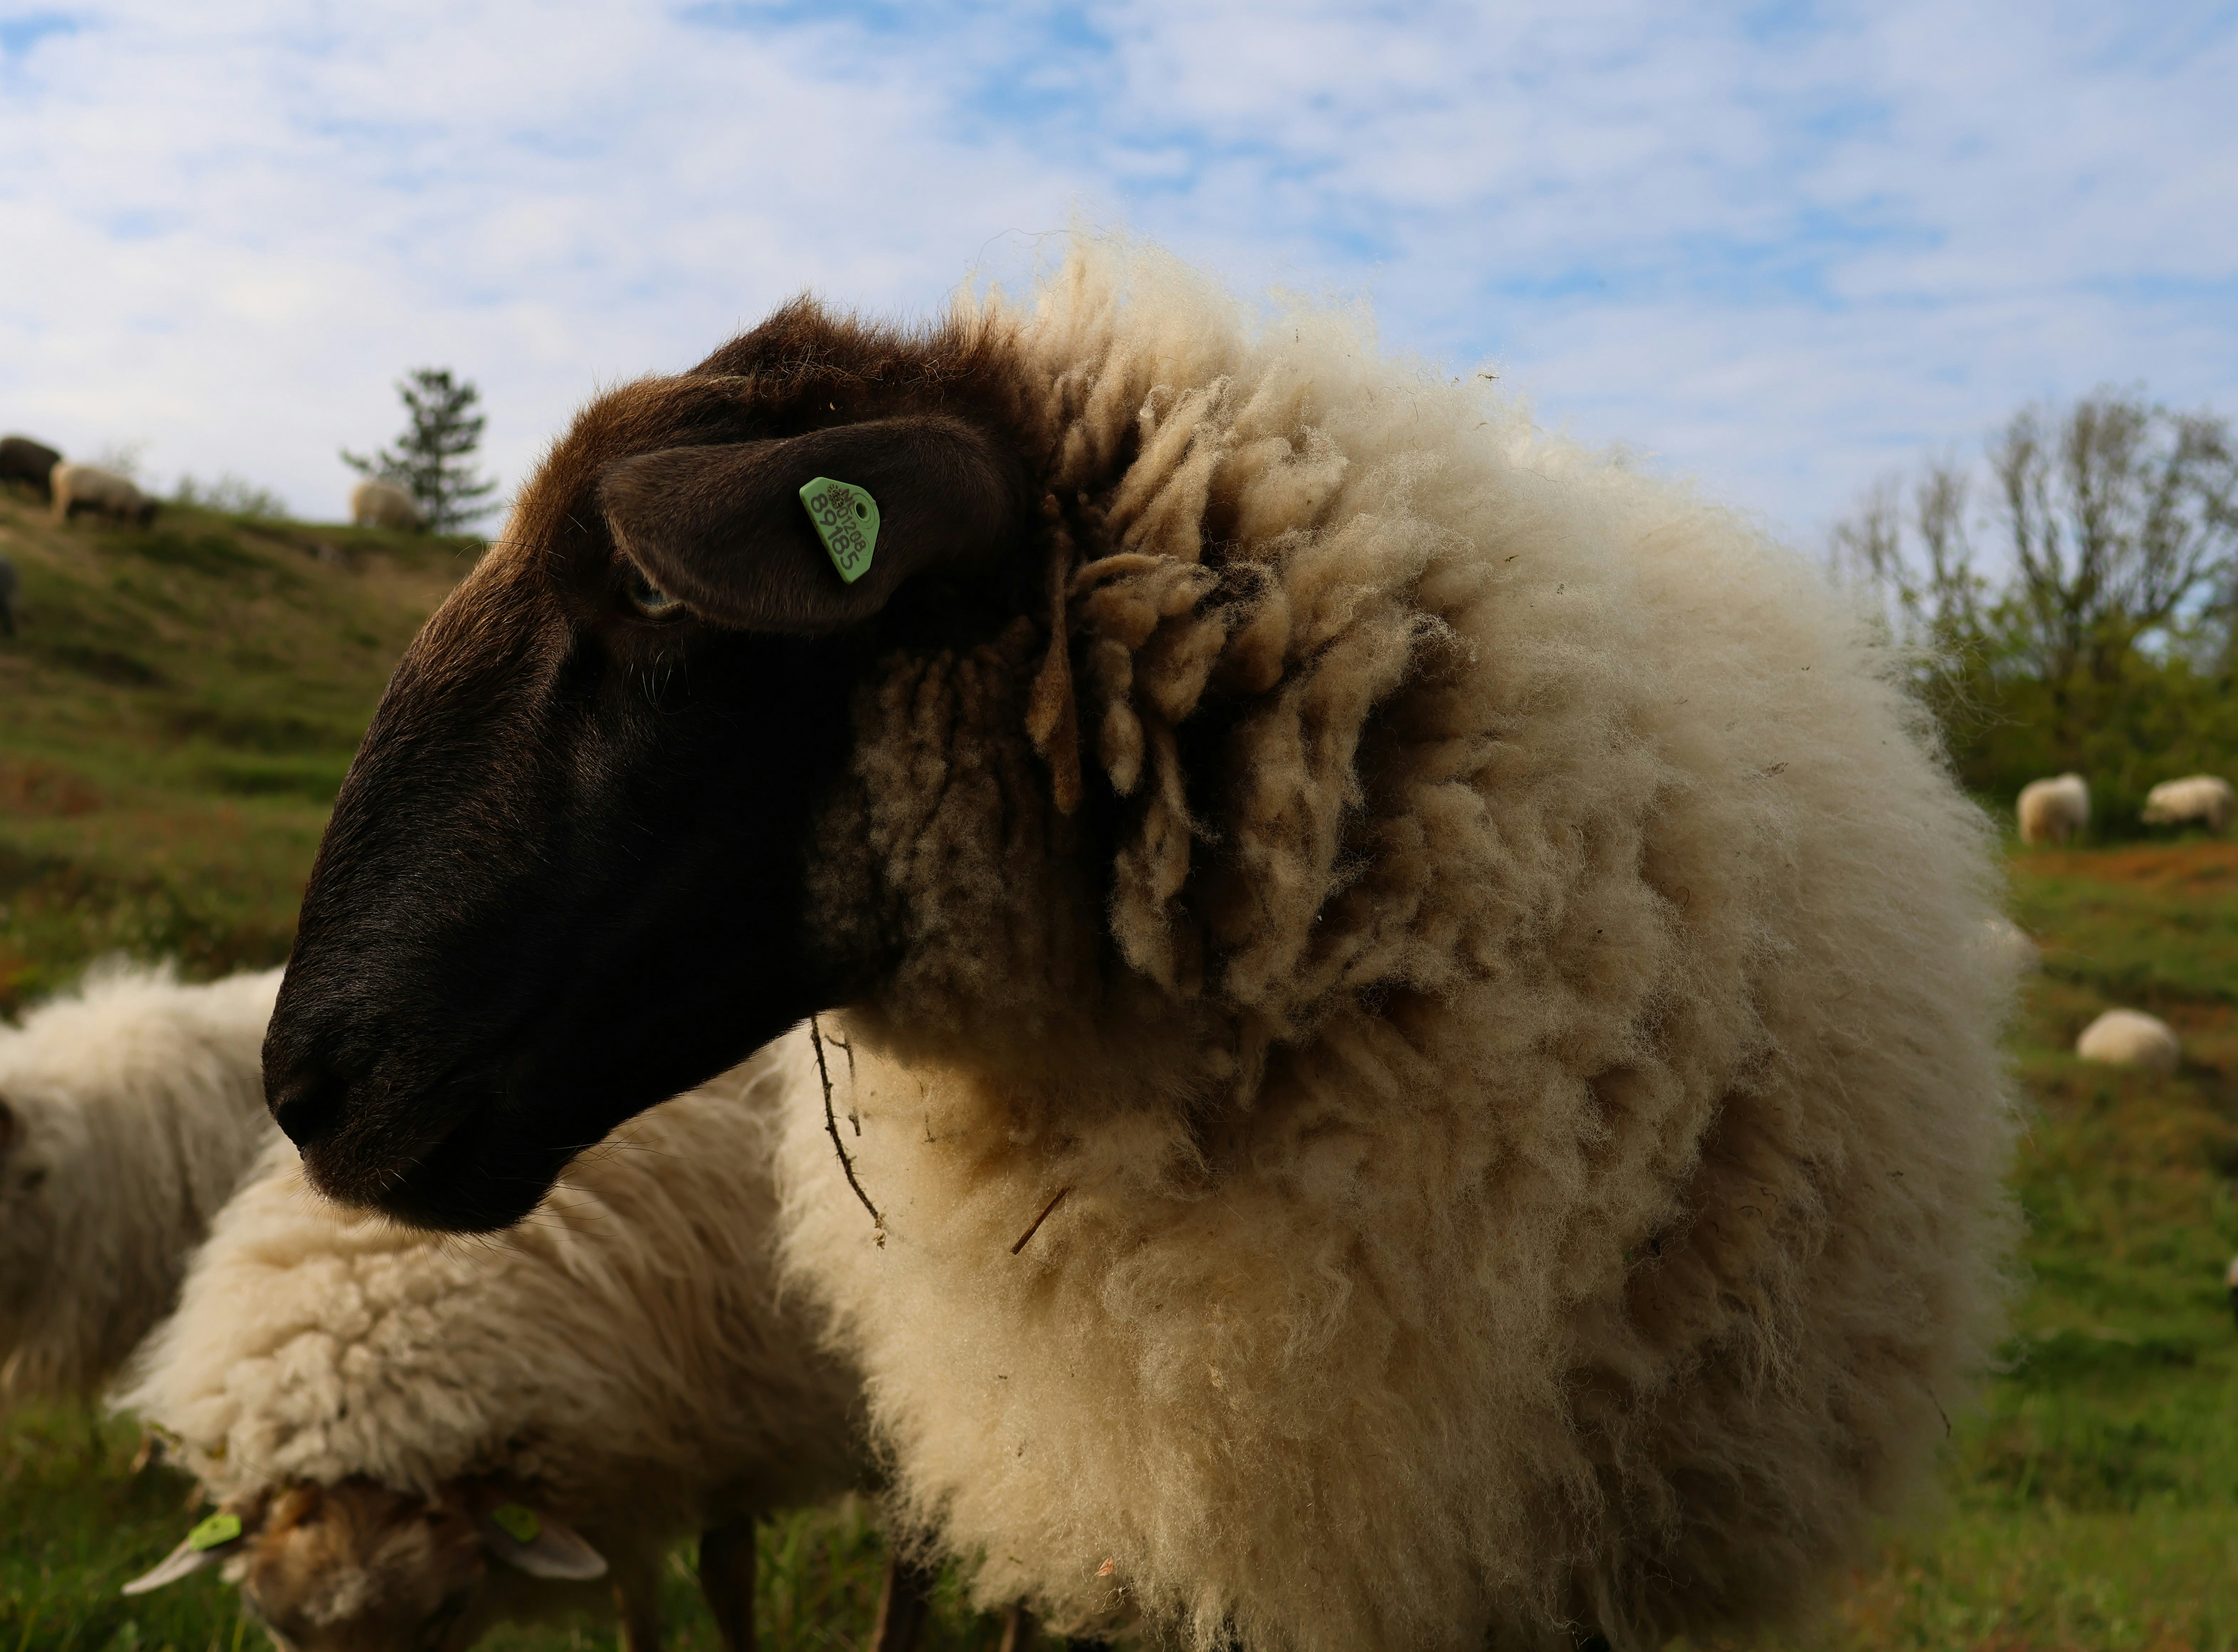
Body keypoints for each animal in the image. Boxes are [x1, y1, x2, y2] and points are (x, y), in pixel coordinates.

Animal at [51, 460, 156, 528]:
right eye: (150, 513)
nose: (148, 528)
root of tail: (64, 466)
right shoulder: (113, 506)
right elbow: (110, 519)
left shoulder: (106, 506)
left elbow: (102, 517)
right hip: (66, 495)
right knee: (62, 508)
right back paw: (63, 522)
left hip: (62, 494)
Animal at [116, 1027, 904, 1652]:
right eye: (269, 1620)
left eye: (451, 1608)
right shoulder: (648, 1461)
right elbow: (642, 1598)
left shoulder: (726, 1428)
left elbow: (726, 1574)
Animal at [2141, 774, 2234, 836]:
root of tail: (2226, 789)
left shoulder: (2168, 817)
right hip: (2224, 810)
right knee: (2225, 823)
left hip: (2214, 809)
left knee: (2217, 824)